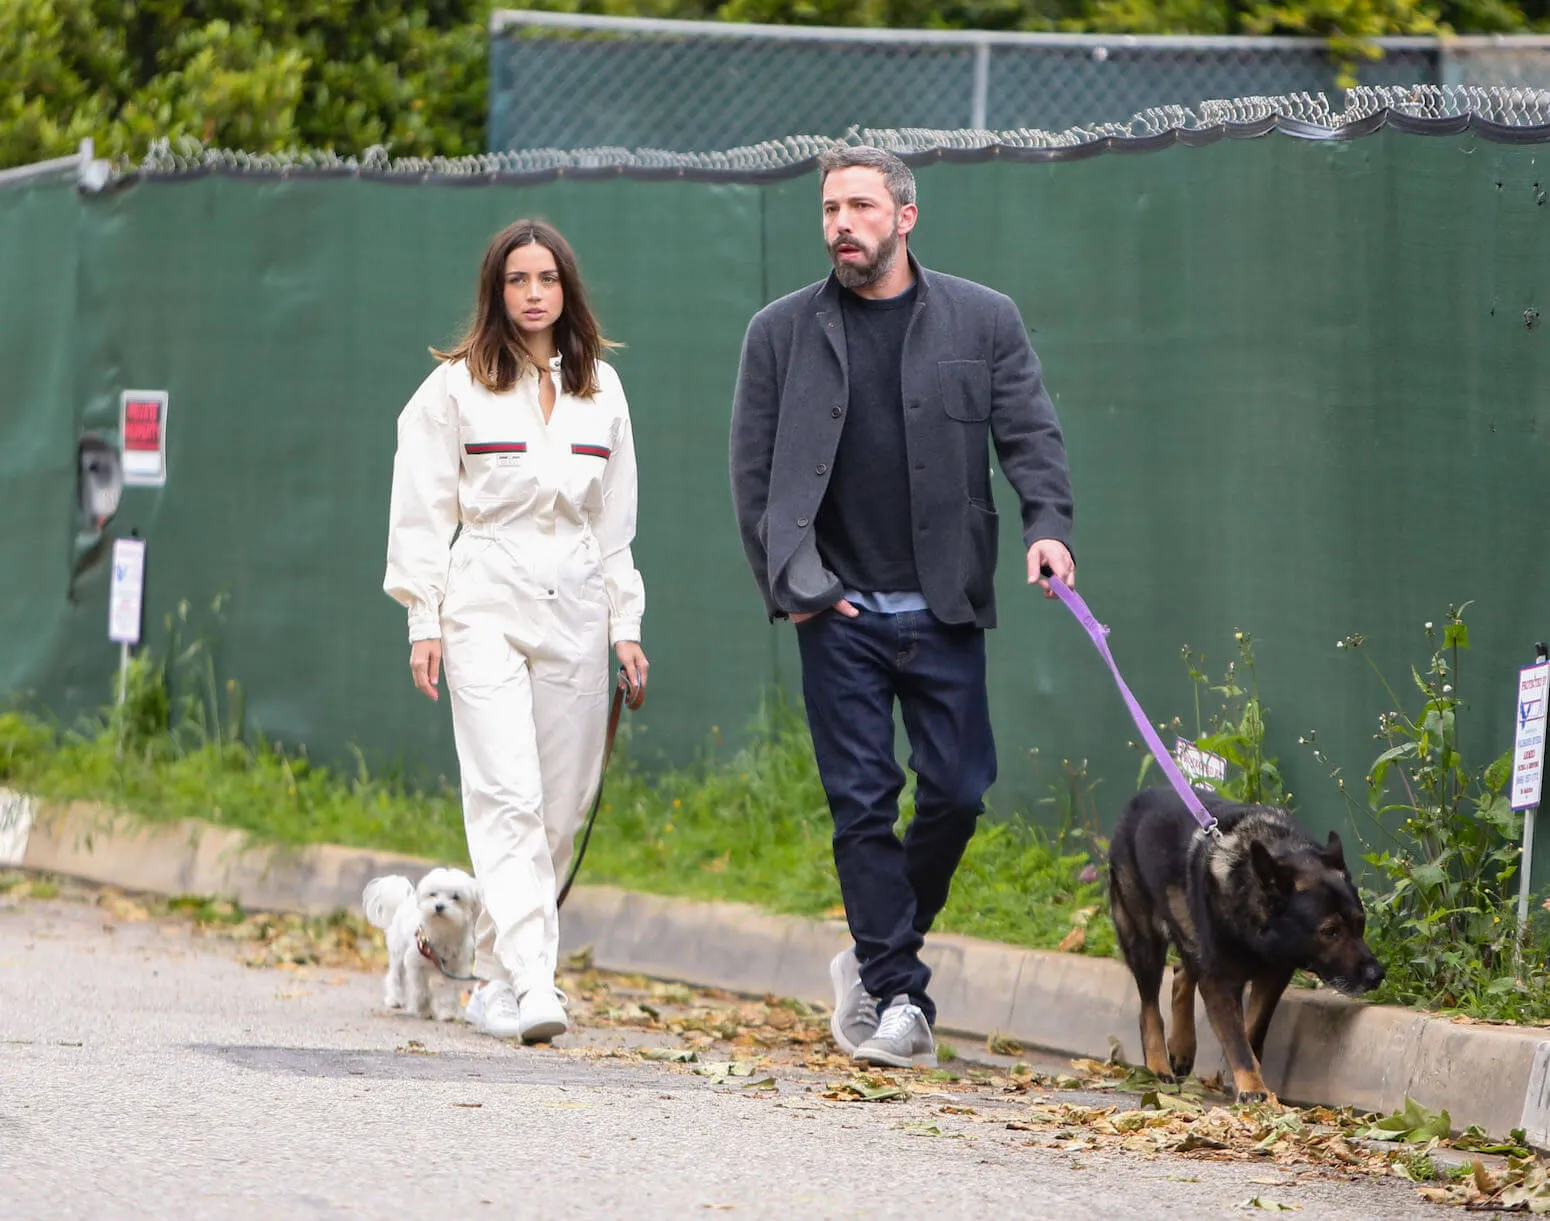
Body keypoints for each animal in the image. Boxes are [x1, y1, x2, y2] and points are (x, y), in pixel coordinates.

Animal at [364, 861, 480, 1022]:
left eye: (456, 897)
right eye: (433, 894)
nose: (439, 906)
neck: (443, 931)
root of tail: (404, 901)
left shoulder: (455, 968)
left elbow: (449, 993)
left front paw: (448, 1012)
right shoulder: (416, 963)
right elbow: (421, 990)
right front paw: (424, 1010)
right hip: (398, 953)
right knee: (396, 976)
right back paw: (394, 999)